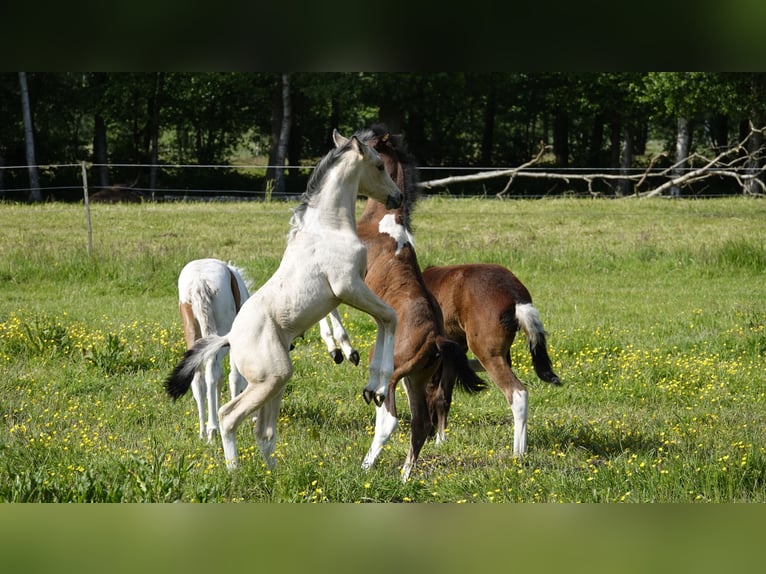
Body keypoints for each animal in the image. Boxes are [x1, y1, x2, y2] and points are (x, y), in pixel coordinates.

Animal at [176, 258, 249, 444]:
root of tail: (199, 282)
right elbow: (234, 377)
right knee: (210, 371)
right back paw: (212, 429)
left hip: (193, 333)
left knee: (198, 377)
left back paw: (203, 430)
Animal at [348, 125, 486, 482]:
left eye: (366, 142)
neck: (383, 220)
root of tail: (436, 338)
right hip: (415, 378)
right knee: (420, 423)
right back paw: (404, 477)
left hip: (395, 373)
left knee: (391, 419)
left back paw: (367, 466)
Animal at [420, 264, 564, 460]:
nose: (428, 434)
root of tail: (515, 297)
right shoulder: (452, 350)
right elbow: (443, 396)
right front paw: (441, 441)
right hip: (496, 353)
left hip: (488, 354)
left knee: (518, 393)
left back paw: (518, 452)